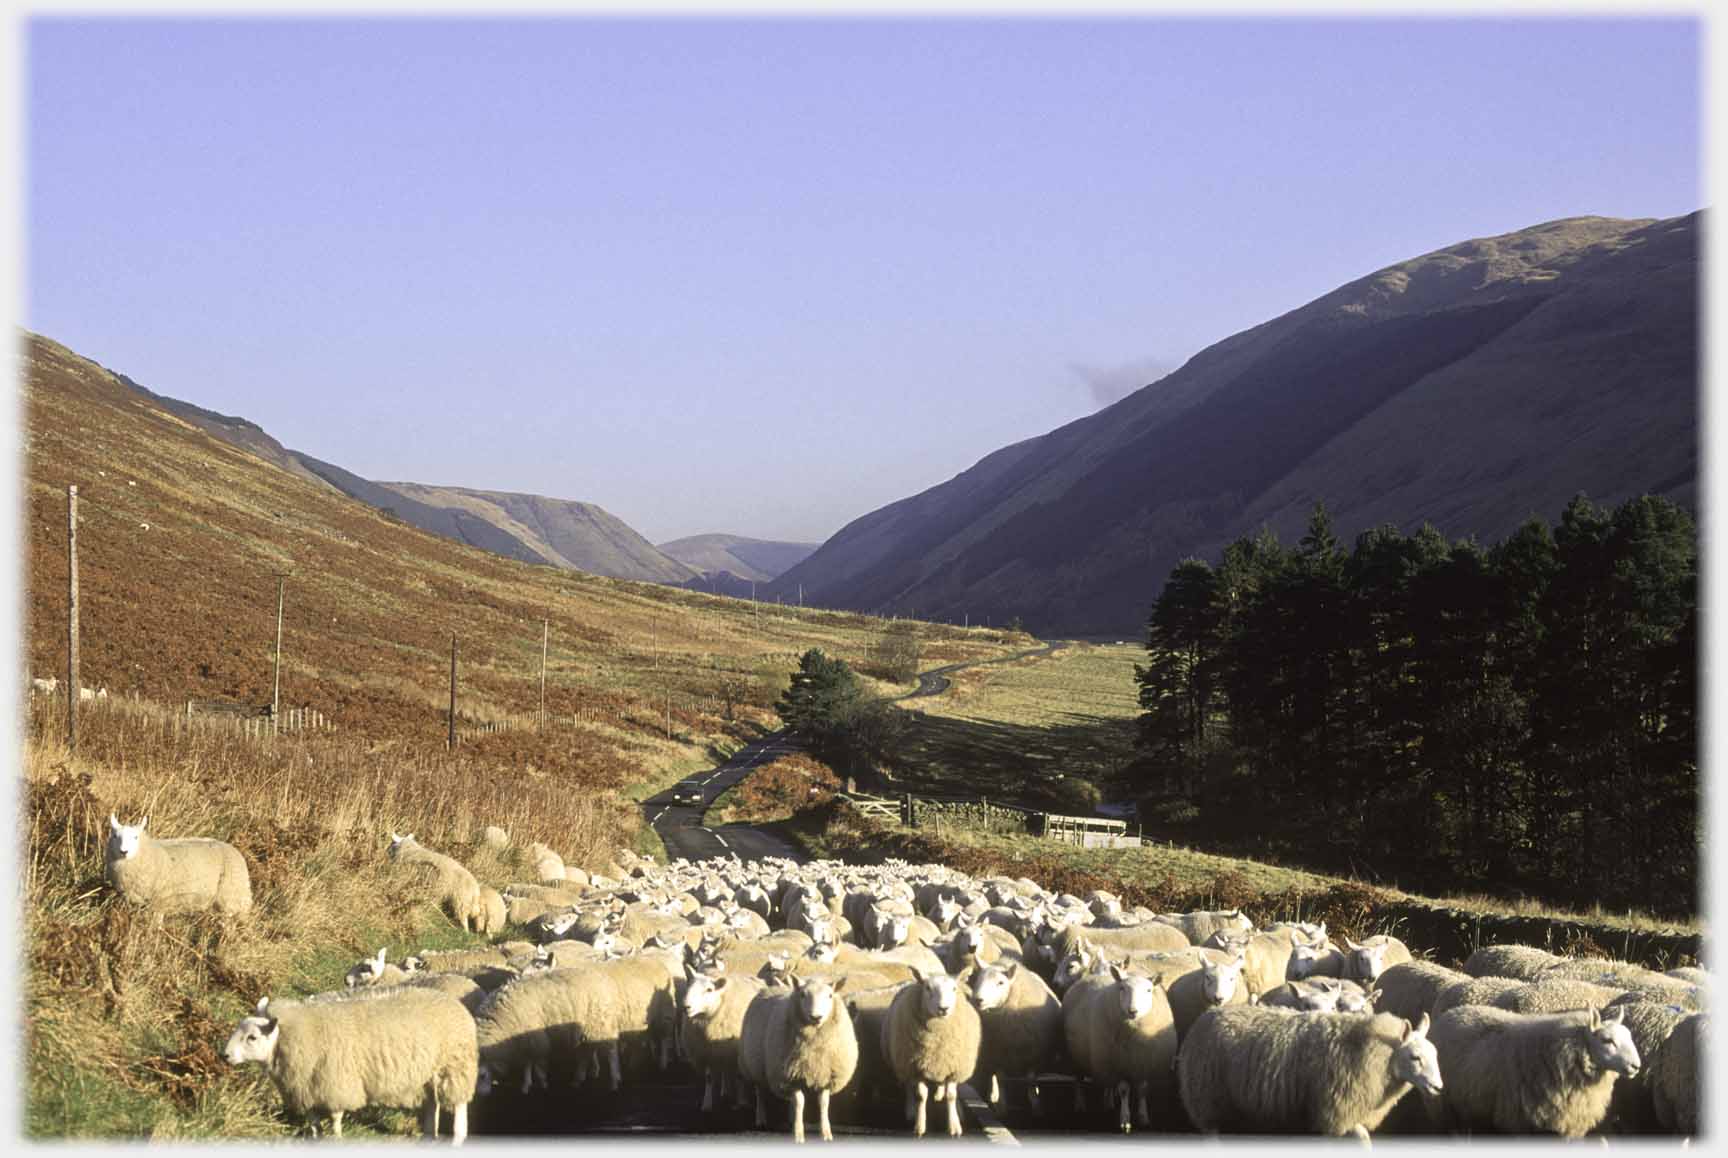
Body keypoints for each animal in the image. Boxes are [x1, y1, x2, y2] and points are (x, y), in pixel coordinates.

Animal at [105, 815, 252, 919]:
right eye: (115, 836)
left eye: (136, 837)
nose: (124, 852)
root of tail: (234, 850)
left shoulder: (159, 902)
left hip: (232, 899)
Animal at [224, 988, 480, 1140]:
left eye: (252, 1037)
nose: (224, 1055)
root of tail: (452, 1002)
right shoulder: (305, 1087)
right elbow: (313, 1120)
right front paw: (317, 1138)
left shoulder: (335, 1083)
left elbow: (336, 1117)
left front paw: (336, 1138)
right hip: (426, 1074)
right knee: (432, 1104)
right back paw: (429, 1136)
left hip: (455, 1067)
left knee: (458, 1105)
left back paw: (457, 1137)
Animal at [884, 967, 981, 1140]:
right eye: (928, 988)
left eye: (954, 989)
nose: (944, 1009)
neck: (937, 1039)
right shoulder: (916, 1066)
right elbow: (921, 1096)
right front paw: (920, 1126)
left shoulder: (953, 1066)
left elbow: (951, 1095)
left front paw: (954, 1126)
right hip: (903, 1063)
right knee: (908, 1086)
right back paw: (911, 1110)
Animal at [1175, 1009, 1444, 1140]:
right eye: (1415, 1057)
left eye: (1435, 1054)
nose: (1439, 1088)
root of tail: (1205, 1017)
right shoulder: (1334, 1112)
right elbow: (1362, 1137)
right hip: (1206, 1096)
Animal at [1423, 1002, 1638, 1140]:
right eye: (1607, 1040)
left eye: (1629, 1036)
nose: (1636, 1066)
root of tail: (1453, 1012)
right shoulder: (1519, 1123)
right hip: (1445, 1109)